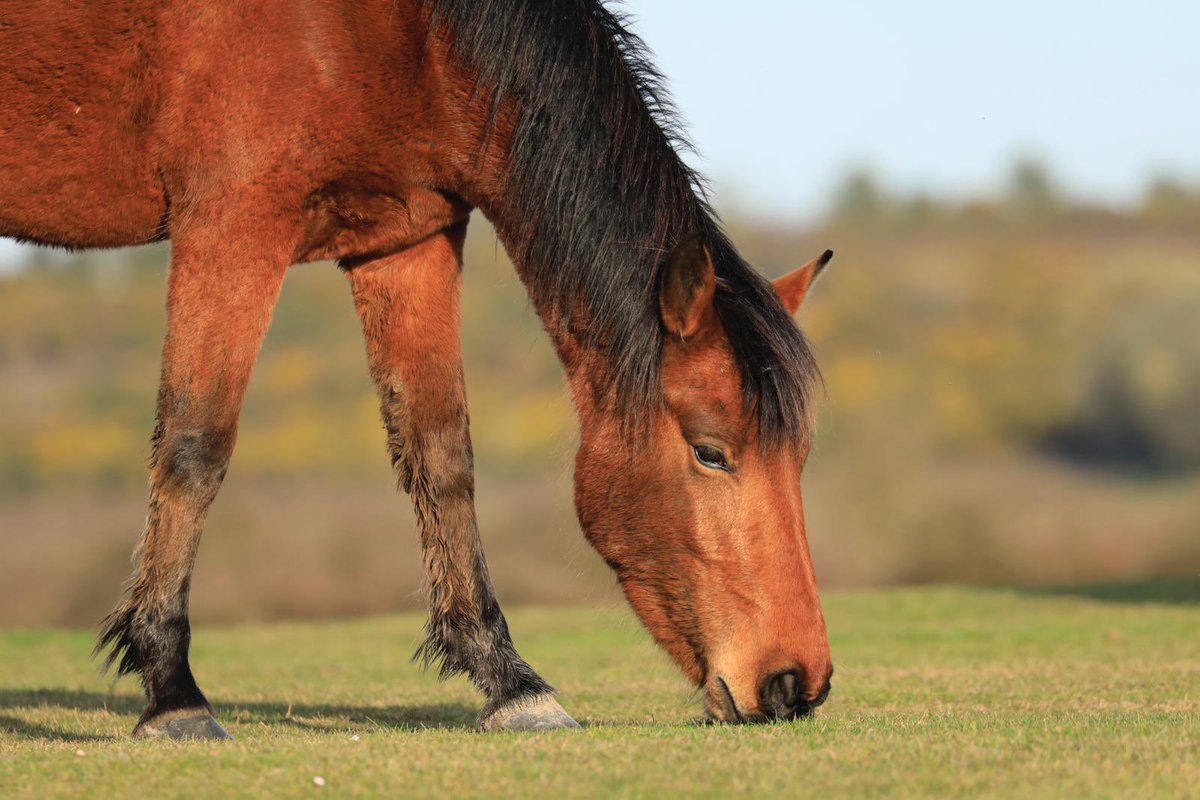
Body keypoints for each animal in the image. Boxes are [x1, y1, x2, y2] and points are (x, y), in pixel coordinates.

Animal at [0, 0, 834, 737]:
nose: (796, 682)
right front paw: (172, 692)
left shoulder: (405, 244)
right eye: (710, 452)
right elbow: (194, 448)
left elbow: (442, 461)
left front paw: (511, 683)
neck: (400, 29)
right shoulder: (232, 226)